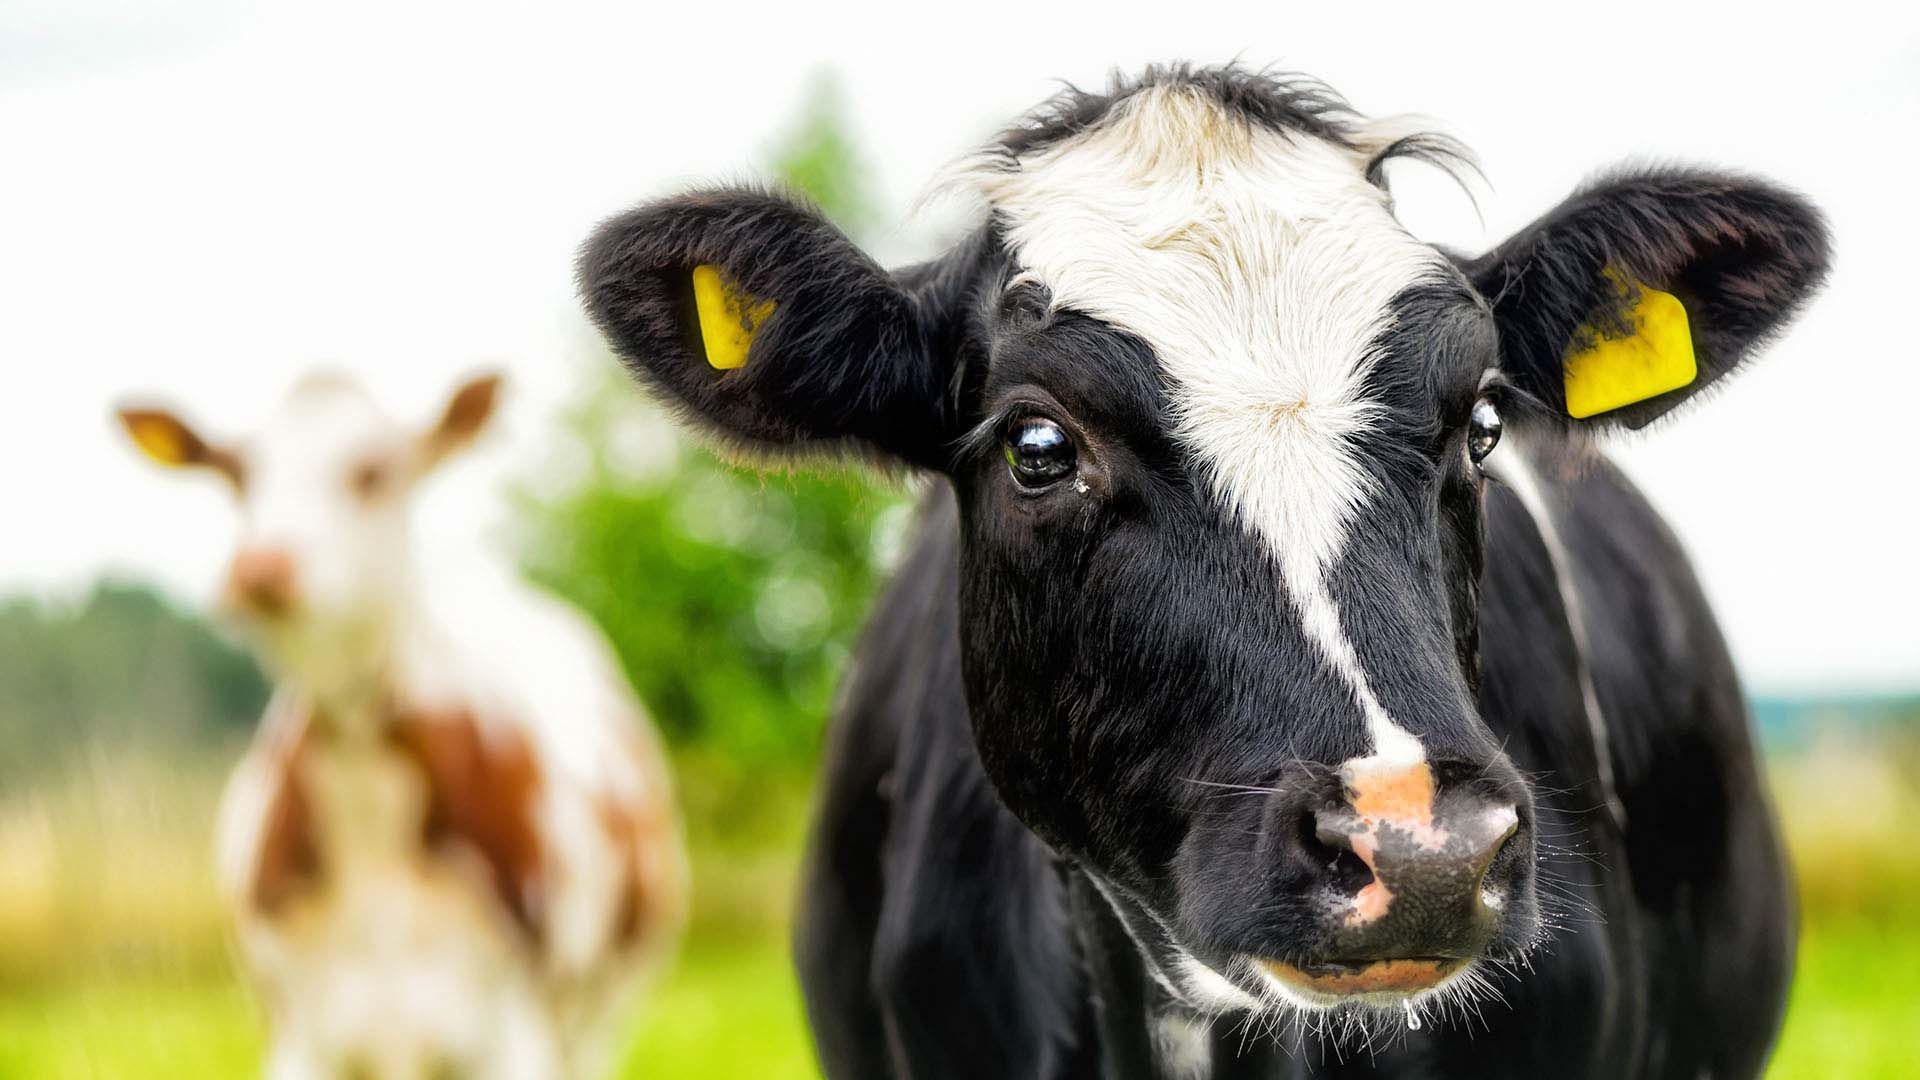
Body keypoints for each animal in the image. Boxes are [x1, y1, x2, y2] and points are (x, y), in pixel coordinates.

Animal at [117, 372, 685, 1079]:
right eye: (237, 475)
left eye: (372, 471)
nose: (261, 568)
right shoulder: (299, 1037)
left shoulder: (517, 1037)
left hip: (600, 1020)